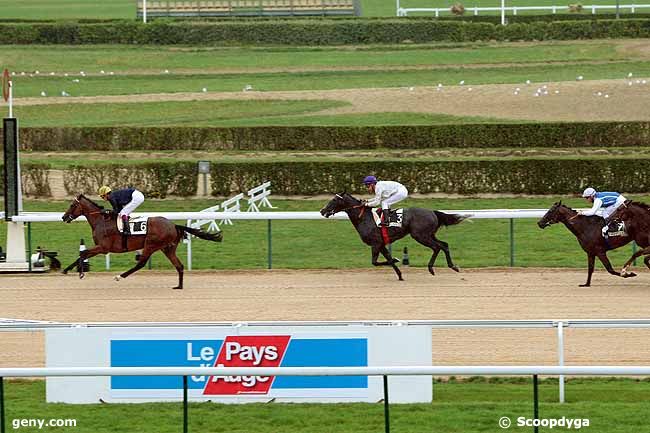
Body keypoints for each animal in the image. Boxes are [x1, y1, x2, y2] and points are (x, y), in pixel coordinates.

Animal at [61, 194, 223, 288]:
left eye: (72, 205)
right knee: (179, 265)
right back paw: (179, 286)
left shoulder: (103, 247)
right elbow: (82, 254)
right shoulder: (100, 247)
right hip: (167, 248)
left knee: (141, 263)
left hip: (151, 244)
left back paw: (119, 276)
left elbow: (83, 254)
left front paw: (80, 273)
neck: (101, 220)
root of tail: (174, 225)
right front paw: (66, 269)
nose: (64, 217)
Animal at [320, 192, 466, 280]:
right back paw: (453, 266)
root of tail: (433, 212)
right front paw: (400, 275)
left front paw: (397, 260)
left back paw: (431, 268)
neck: (364, 218)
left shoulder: (375, 244)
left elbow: (375, 262)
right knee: (444, 245)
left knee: (437, 247)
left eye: (334, 199)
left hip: (420, 236)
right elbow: (388, 260)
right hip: (429, 234)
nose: (322, 211)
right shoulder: (381, 244)